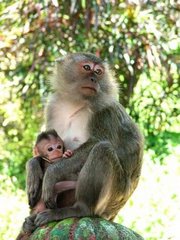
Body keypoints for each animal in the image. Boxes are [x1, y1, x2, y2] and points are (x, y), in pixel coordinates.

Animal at [29, 52, 143, 227]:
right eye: (87, 67)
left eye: (99, 72)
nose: (94, 79)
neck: (76, 102)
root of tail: (114, 214)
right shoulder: (53, 105)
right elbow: (41, 145)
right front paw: (33, 166)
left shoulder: (104, 111)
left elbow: (96, 142)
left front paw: (52, 173)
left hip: (113, 197)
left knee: (102, 150)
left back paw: (80, 209)